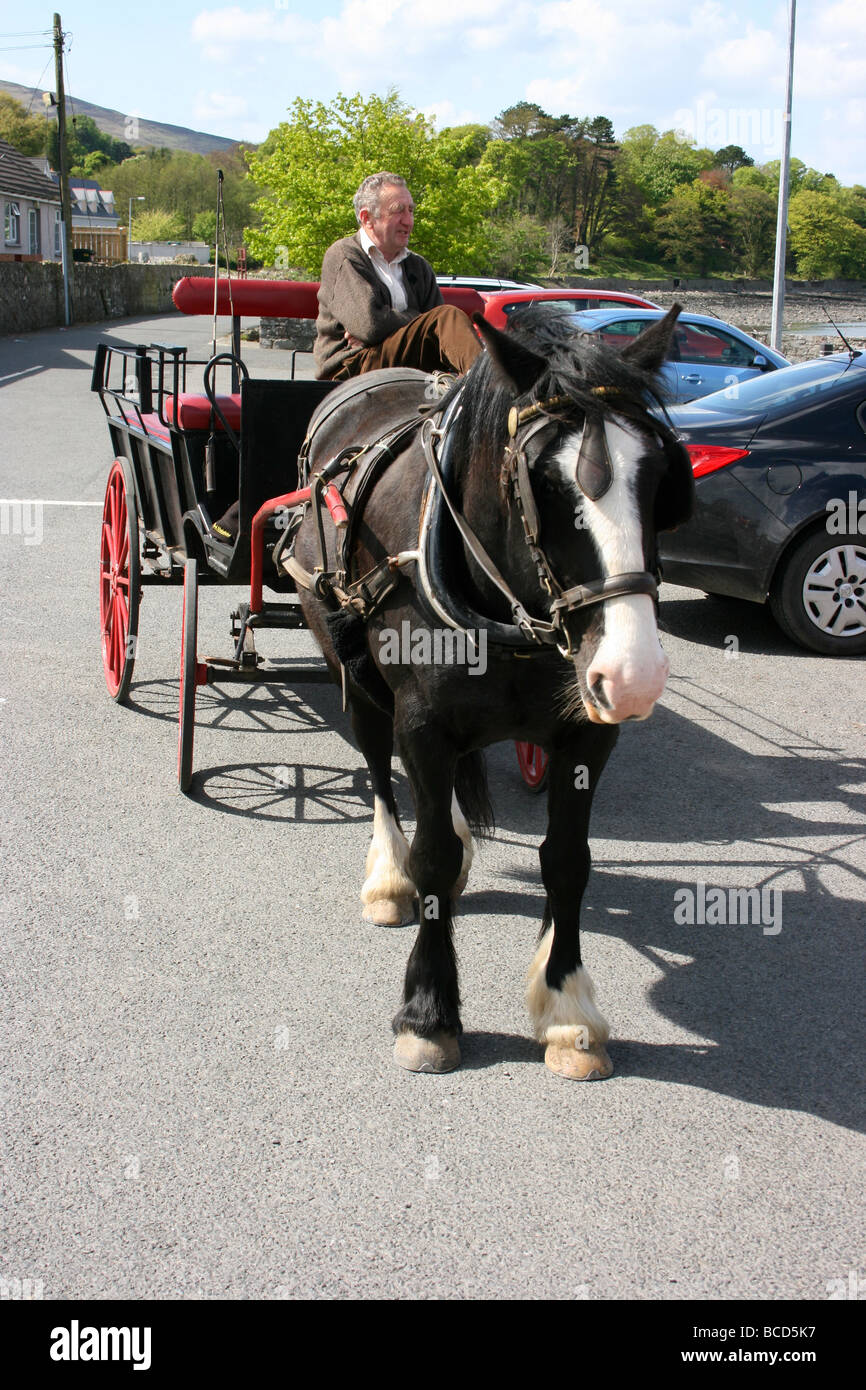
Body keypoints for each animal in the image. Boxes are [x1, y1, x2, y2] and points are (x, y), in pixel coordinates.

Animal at [284, 304, 693, 1080]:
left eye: (662, 478)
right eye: (544, 482)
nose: (634, 675)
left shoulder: (586, 735)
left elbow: (567, 862)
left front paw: (567, 1010)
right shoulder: (422, 724)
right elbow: (433, 856)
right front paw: (428, 1013)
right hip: (353, 670)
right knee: (380, 770)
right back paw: (390, 876)